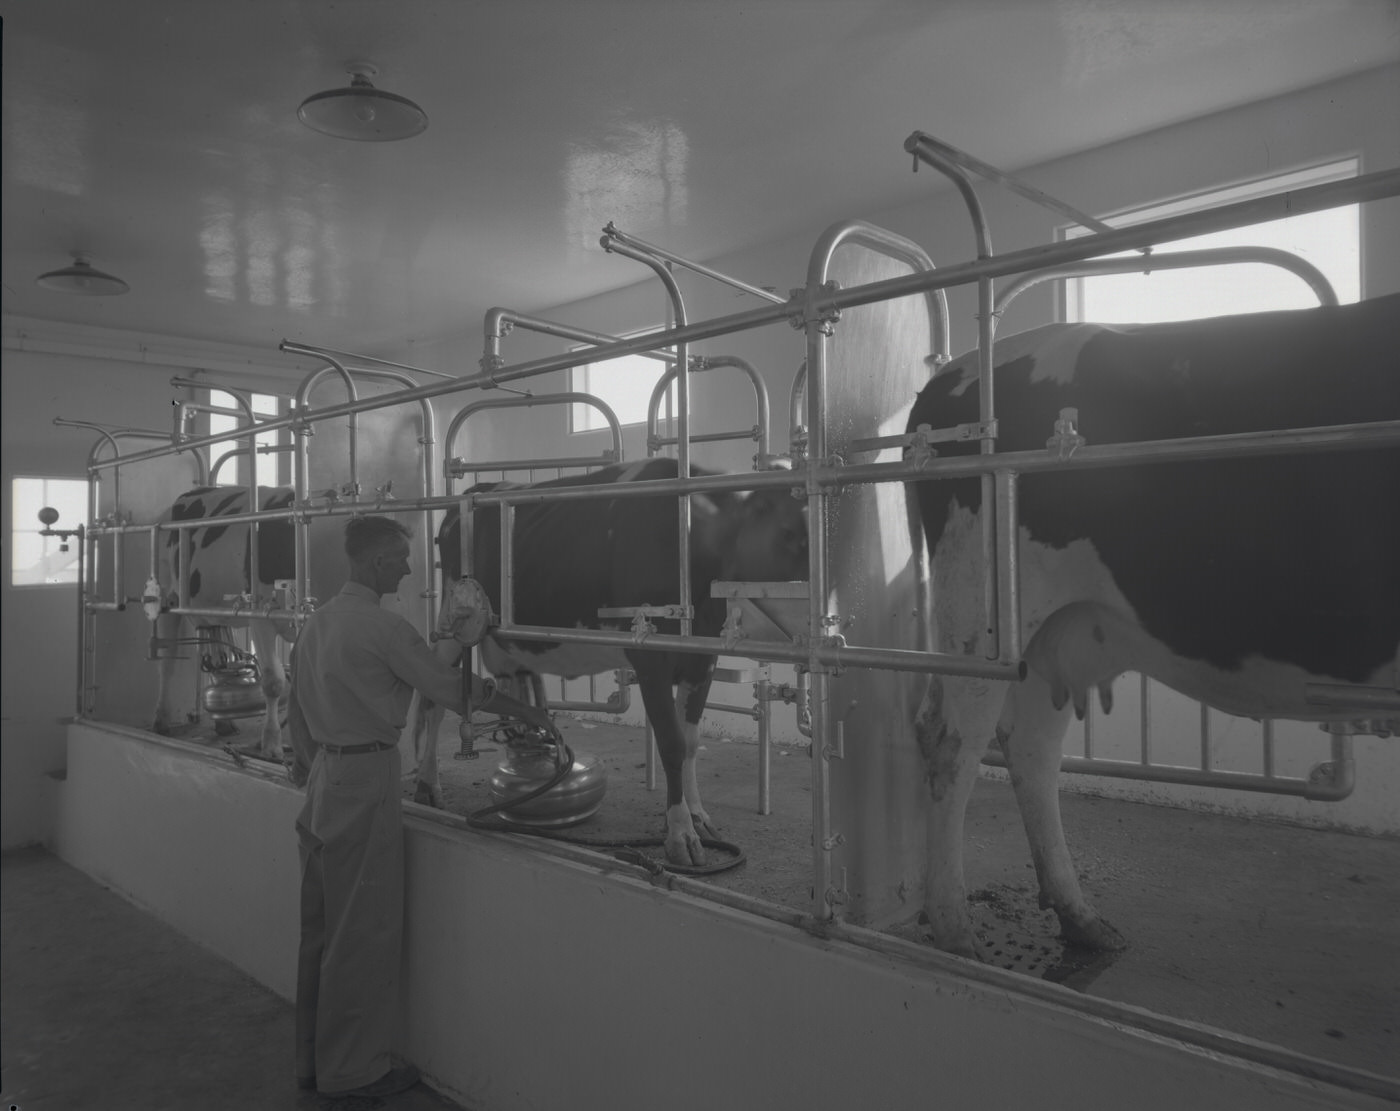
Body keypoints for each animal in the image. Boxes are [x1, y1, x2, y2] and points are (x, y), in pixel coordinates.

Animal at [152, 486, 336, 755]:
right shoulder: (261, 618)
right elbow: (273, 682)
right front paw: (271, 744)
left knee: (215, 655)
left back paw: (224, 724)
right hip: (166, 596)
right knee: (167, 662)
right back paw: (161, 721)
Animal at [411, 453, 812, 861]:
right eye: (791, 531)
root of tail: (474, 493)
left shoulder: (703, 660)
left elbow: (691, 744)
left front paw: (698, 816)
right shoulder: (649, 656)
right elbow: (671, 744)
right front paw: (680, 834)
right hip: (454, 621)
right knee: (431, 697)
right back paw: (427, 785)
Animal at [907, 292, 1400, 951]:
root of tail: (951, 372)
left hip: (1052, 630)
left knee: (1031, 748)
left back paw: (1079, 916)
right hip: (979, 612)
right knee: (951, 743)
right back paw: (955, 928)